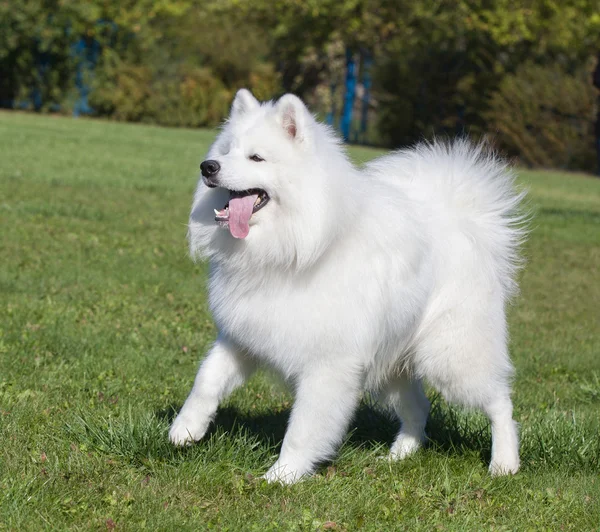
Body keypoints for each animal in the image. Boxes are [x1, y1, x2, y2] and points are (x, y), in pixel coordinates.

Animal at [168, 88, 524, 482]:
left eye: (256, 157)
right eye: (226, 150)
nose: (208, 167)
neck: (294, 250)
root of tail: (465, 221)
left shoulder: (327, 365)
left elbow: (302, 427)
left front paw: (282, 476)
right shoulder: (242, 337)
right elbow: (206, 380)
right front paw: (185, 429)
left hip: (451, 358)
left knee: (500, 403)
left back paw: (504, 463)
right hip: (392, 367)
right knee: (419, 407)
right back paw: (399, 455)